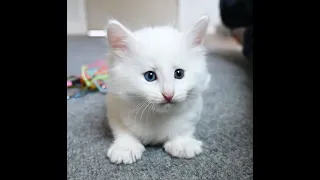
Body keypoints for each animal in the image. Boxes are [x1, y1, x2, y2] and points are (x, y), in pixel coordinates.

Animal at [104, 16, 211, 164]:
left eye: (179, 74)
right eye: (150, 76)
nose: (168, 94)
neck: (157, 117)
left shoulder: (193, 109)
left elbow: (185, 127)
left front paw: (182, 142)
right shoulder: (115, 106)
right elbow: (123, 130)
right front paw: (126, 147)